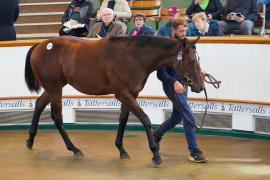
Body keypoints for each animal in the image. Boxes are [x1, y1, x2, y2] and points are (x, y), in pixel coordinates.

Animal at [24, 35, 202, 166]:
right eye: (192, 61)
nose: (200, 86)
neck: (133, 57)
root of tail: (40, 45)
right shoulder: (122, 93)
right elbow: (145, 119)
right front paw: (155, 154)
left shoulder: (131, 94)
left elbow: (123, 119)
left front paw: (122, 150)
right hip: (54, 88)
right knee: (57, 116)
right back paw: (74, 149)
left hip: (52, 88)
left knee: (39, 105)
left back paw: (30, 141)